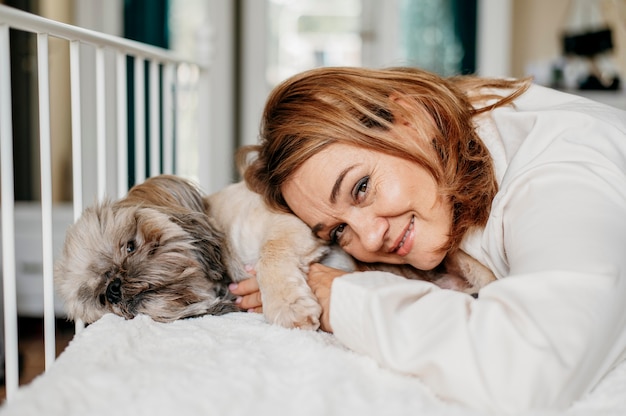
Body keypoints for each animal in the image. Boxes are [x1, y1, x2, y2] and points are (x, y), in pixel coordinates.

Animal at [54, 174, 492, 330]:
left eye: (130, 244)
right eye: (103, 299)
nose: (117, 286)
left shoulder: (291, 226)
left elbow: (270, 257)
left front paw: (288, 306)